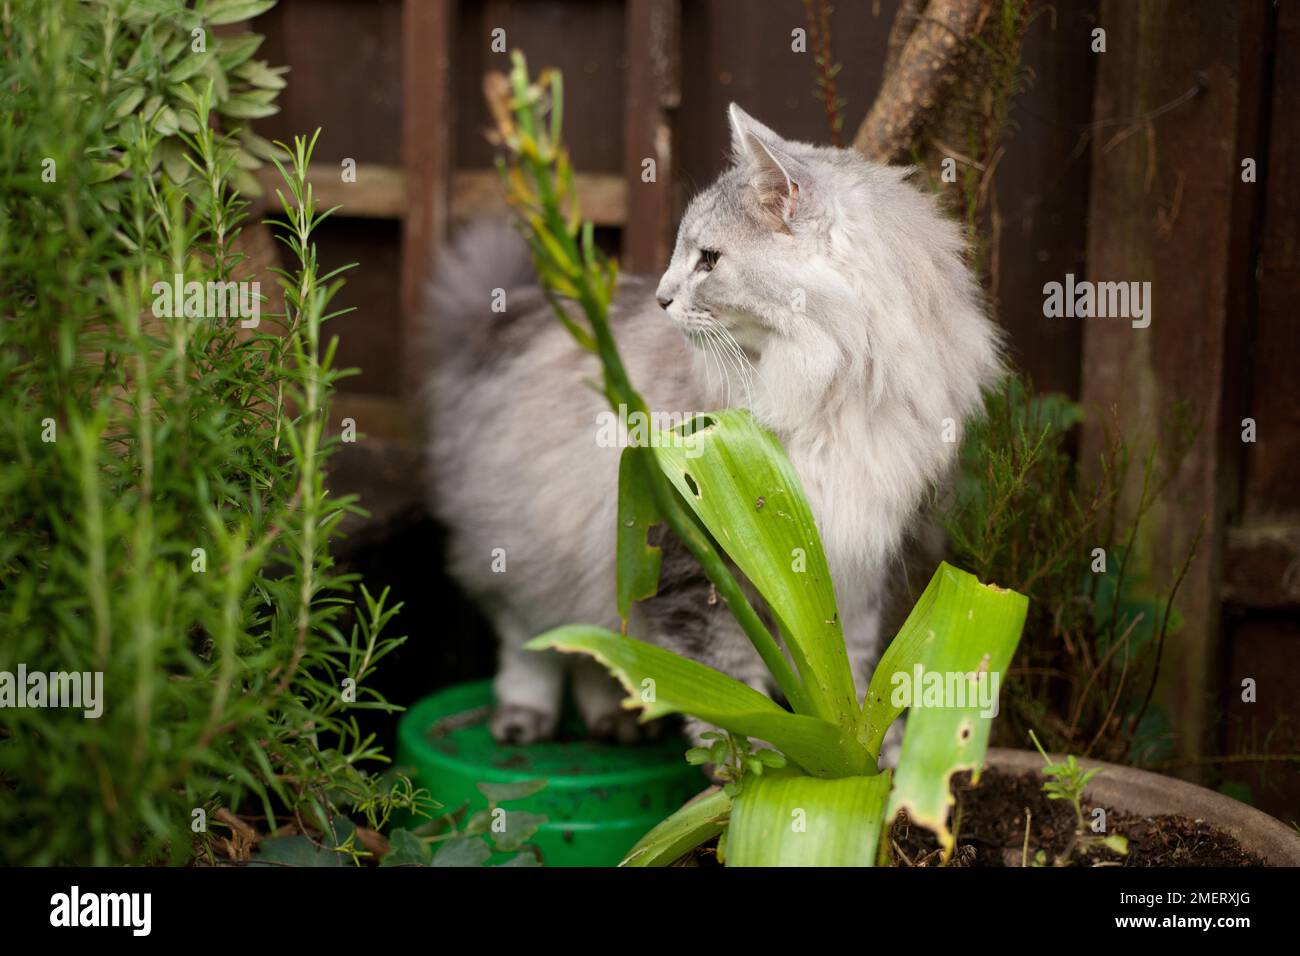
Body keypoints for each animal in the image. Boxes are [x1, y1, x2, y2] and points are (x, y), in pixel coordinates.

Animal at [421, 106, 998, 749]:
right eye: (685, 254)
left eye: (710, 261)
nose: (660, 298)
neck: (830, 390)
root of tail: (499, 319)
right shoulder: (698, 568)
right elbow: (733, 695)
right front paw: (758, 766)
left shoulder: (853, 569)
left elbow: (849, 676)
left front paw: (864, 755)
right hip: (523, 545)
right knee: (533, 644)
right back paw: (525, 717)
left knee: (595, 651)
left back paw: (612, 720)